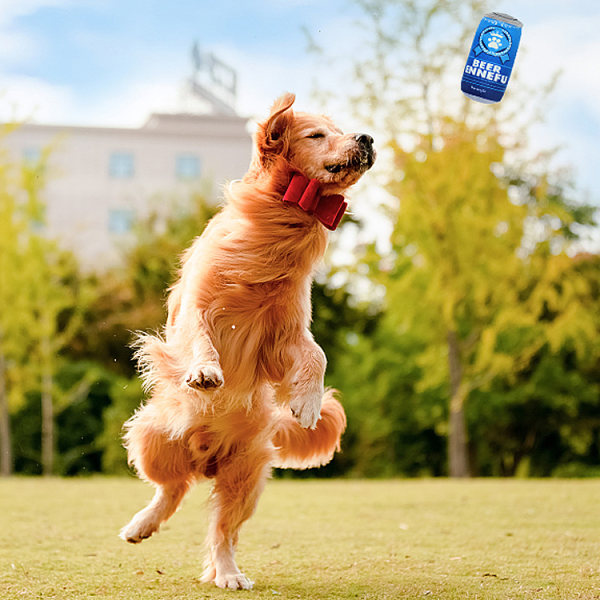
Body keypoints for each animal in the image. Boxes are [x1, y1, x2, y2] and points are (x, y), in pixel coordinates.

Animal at [118, 94, 376, 592]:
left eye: (342, 129)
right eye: (318, 135)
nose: (368, 138)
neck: (279, 224)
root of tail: (206, 460)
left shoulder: (287, 332)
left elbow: (317, 354)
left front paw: (308, 403)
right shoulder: (198, 305)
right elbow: (201, 336)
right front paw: (206, 371)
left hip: (245, 477)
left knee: (221, 529)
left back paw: (228, 572)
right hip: (150, 439)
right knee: (170, 489)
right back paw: (141, 524)